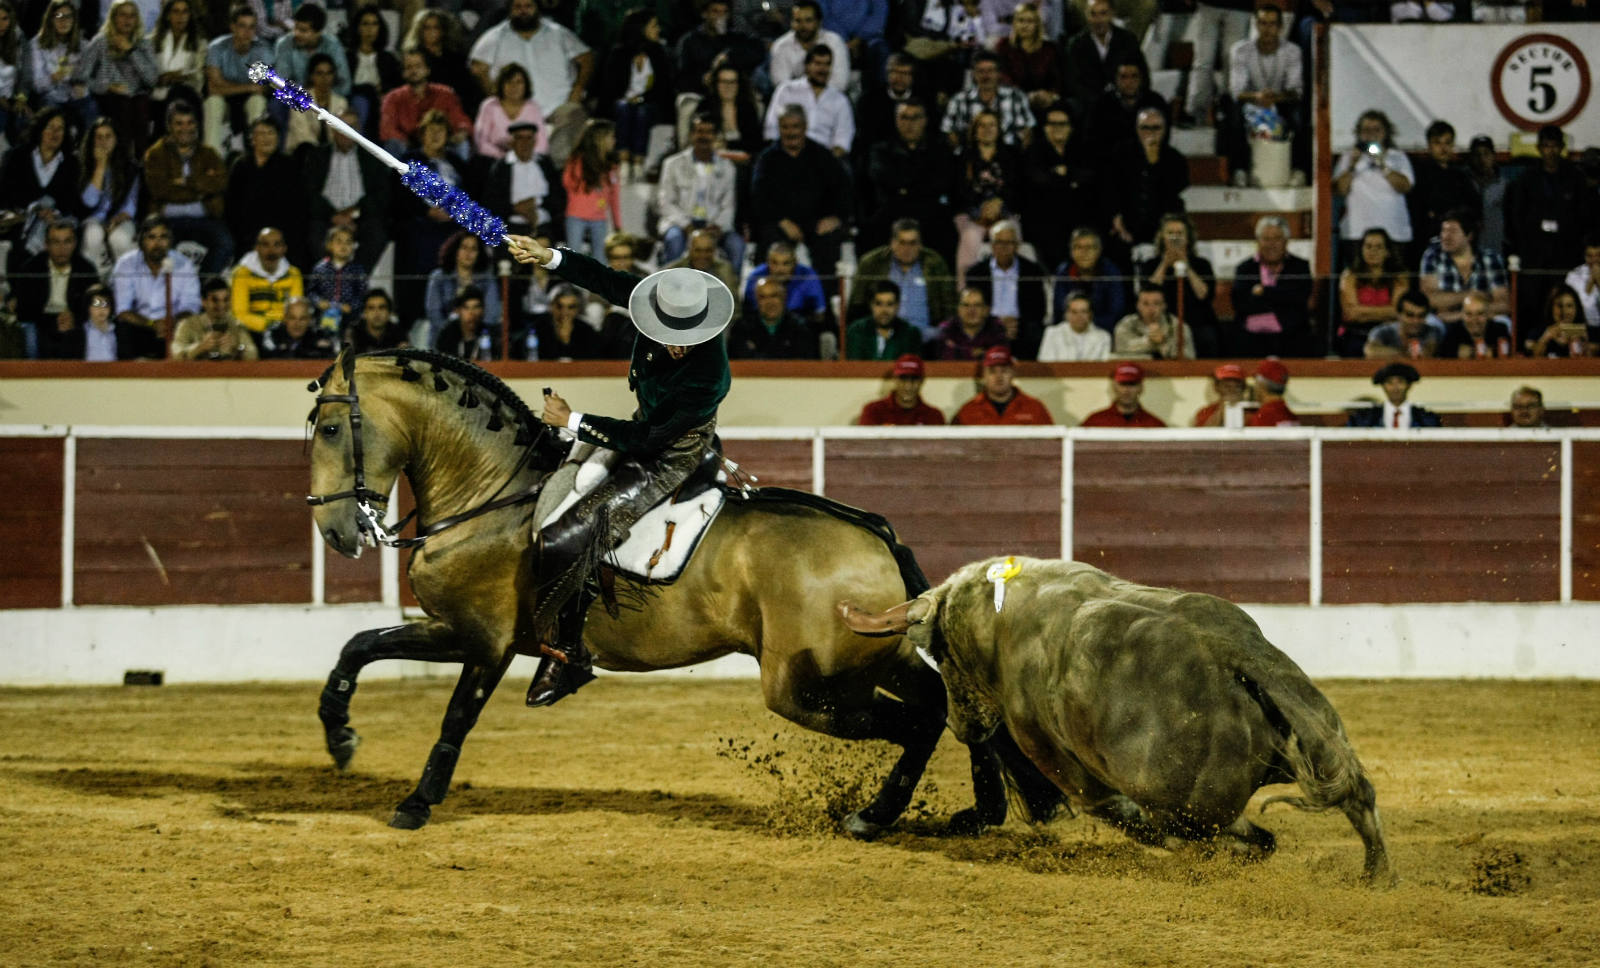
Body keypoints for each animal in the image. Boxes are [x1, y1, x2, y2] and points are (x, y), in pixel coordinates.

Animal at [305, 347, 992, 832]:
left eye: (331, 430)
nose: (336, 531)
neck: (493, 497)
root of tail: (876, 536)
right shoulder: (458, 631)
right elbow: (360, 645)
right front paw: (340, 738)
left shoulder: (483, 638)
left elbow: (454, 714)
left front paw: (417, 802)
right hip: (877, 657)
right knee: (947, 705)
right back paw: (978, 814)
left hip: (808, 686)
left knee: (920, 720)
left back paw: (878, 816)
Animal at [844, 560, 1395, 883]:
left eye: (939, 652)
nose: (963, 726)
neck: (998, 616)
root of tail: (1230, 651)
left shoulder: (1058, 758)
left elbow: (1110, 806)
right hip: (1315, 732)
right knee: (1355, 802)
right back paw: (1375, 875)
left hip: (1186, 807)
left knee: (1233, 835)